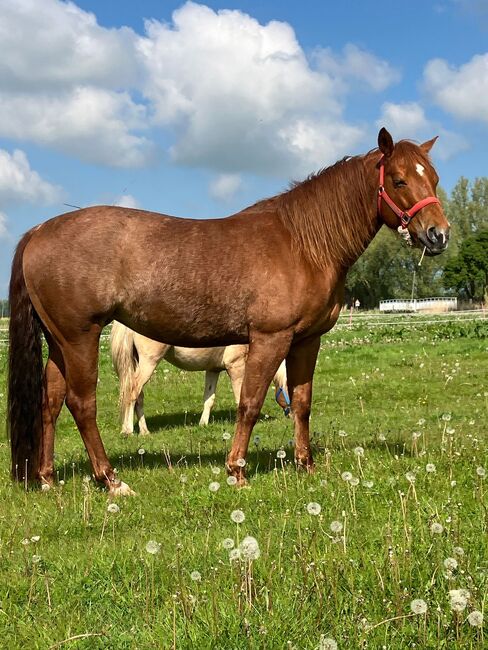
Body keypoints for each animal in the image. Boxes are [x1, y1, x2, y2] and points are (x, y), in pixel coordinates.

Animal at [110, 321, 289, 433]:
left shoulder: (213, 370)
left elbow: (209, 399)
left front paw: (203, 424)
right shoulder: (236, 367)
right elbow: (240, 399)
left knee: (138, 396)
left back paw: (145, 431)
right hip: (149, 363)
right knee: (132, 393)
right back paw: (127, 430)